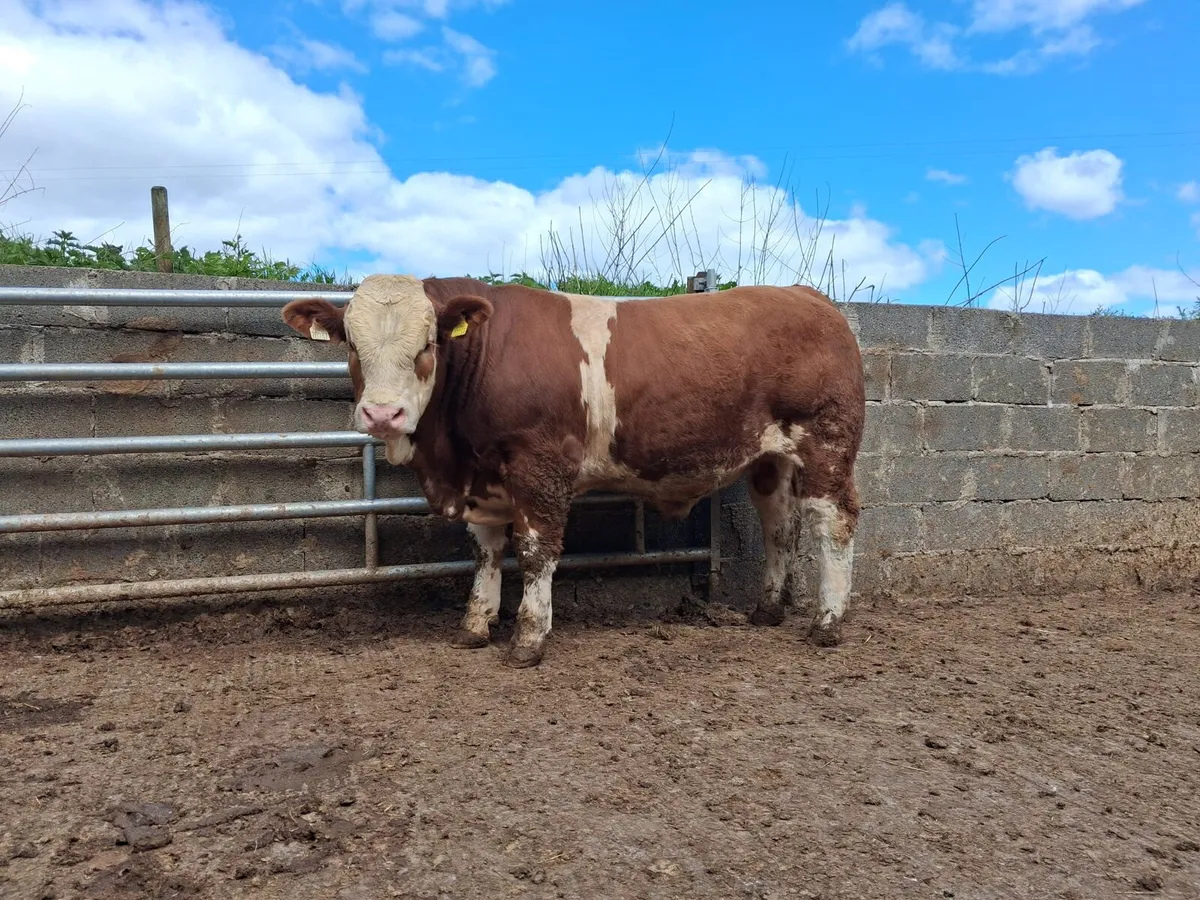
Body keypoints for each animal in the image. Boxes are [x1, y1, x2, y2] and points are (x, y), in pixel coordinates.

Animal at [282, 275, 866, 668]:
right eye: (352, 346)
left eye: (428, 344)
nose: (383, 414)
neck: (452, 459)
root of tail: (804, 293)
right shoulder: (484, 481)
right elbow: (486, 551)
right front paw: (475, 624)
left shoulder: (540, 465)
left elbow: (536, 551)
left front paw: (528, 638)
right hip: (770, 459)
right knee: (779, 527)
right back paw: (768, 610)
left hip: (827, 445)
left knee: (834, 523)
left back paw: (828, 622)